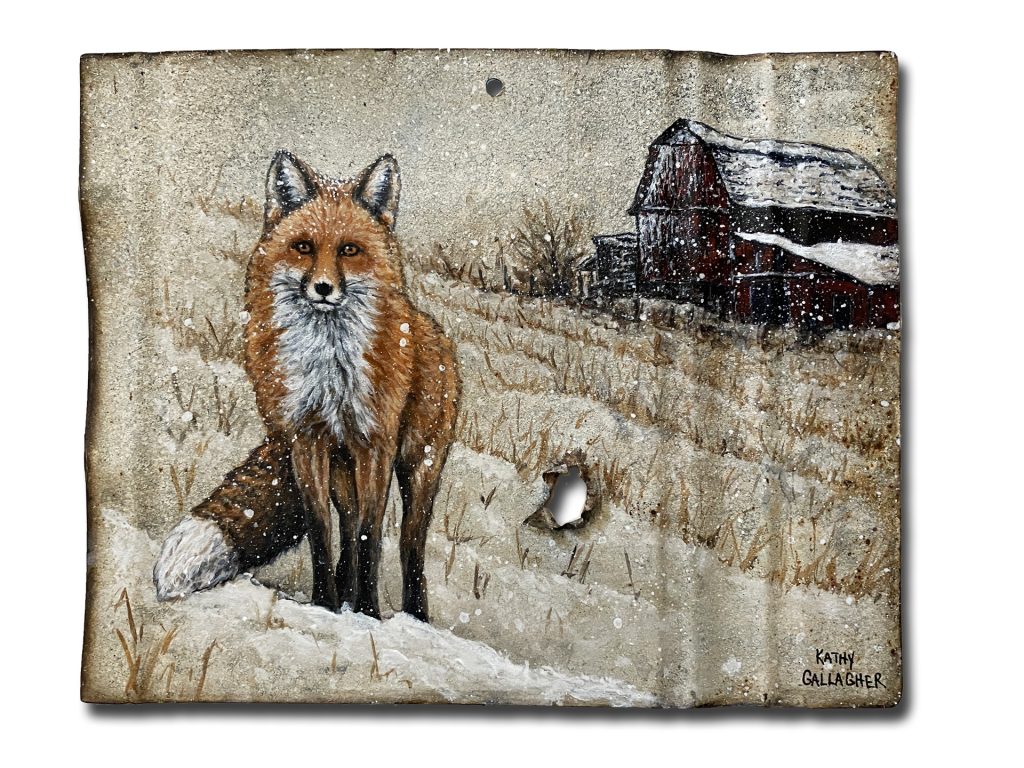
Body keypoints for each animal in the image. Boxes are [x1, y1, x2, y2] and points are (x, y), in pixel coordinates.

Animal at [153, 151, 460, 622]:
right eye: (303, 247)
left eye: (349, 250)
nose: (323, 288)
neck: (329, 367)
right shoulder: (306, 439)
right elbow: (322, 533)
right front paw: (326, 605)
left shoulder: (376, 444)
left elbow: (373, 537)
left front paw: (369, 614)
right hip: (341, 471)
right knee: (347, 529)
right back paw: (345, 600)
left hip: (419, 465)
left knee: (410, 542)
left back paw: (414, 615)